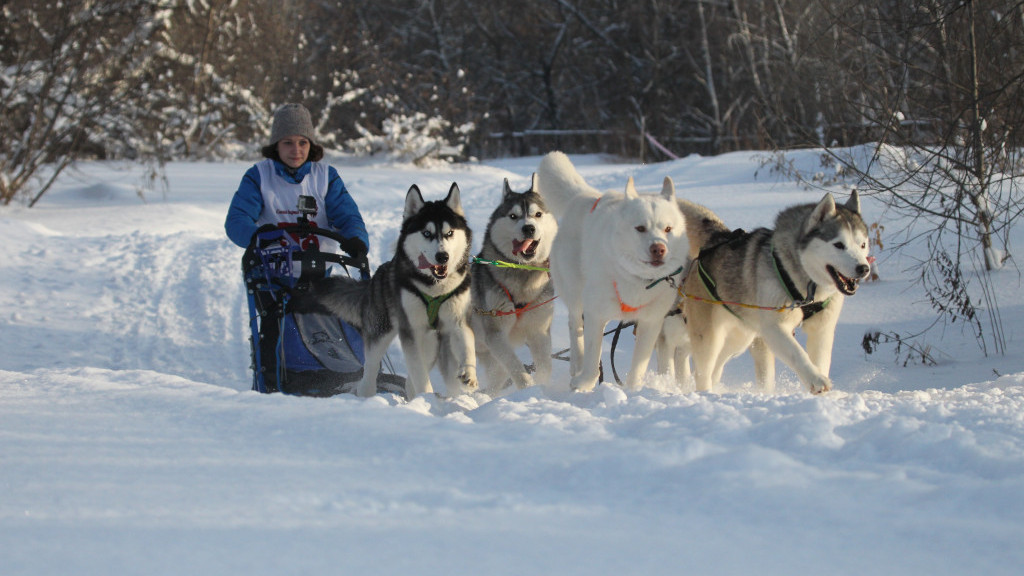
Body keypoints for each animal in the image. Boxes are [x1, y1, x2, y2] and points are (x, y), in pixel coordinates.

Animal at [292, 183, 475, 399]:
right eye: (426, 233)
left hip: (431, 343)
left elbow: (468, 345)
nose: (442, 256)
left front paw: (469, 374)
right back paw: (367, 394)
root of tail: (377, 276)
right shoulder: (410, 331)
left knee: (411, 378)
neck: (434, 288)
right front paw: (427, 396)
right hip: (382, 332)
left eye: (449, 233)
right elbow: (419, 374)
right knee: (370, 369)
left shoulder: (458, 320)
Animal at [473, 174, 561, 389]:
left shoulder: (539, 332)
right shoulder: (496, 333)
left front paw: (542, 388)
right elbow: (515, 366)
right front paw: (529, 388)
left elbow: (545, 367)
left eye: (538, 214)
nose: (528, 228)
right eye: (513, 216)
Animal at [536, 150, 688, 389]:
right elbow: (592, 359)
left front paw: (633, 390)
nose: (659, 249)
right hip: (575, 291)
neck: (637, 280)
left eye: (668, 229)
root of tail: (584, 196)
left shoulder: (650, 323)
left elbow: (638, 367)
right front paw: (584, 383)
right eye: (640, 228)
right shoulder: (595, 314)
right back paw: (576, 363)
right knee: (574, 324)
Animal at [684, 190, 868, 391]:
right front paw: (816, 379)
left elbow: (821, 361)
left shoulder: (822, 330)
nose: (864, 268)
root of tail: (716, 240)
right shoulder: (775, 327)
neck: (809, 289)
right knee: (704, 371)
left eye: (863, 245)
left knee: (717, 365)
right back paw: (705, 392)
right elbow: (798, 353)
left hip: (740, 337)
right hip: (709, 337)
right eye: (839, 245)